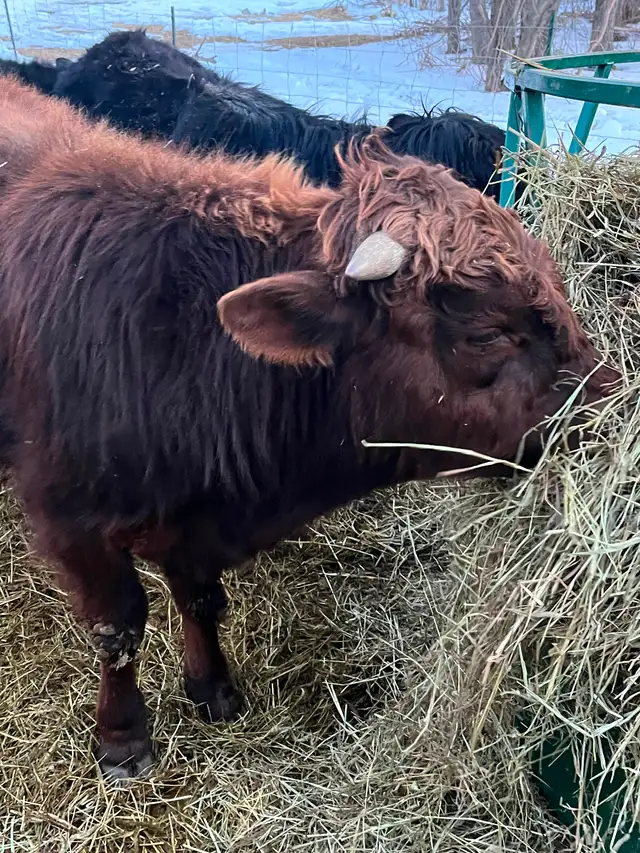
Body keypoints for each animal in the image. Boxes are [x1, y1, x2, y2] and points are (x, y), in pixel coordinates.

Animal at [0, 76, 616, 782]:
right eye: (487, 332)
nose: (609, 404)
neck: (188, 343)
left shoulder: (195, 527)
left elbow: (200, 598)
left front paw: (213, 688)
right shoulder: (72, 524)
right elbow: (120, 628)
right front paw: (124, 737)